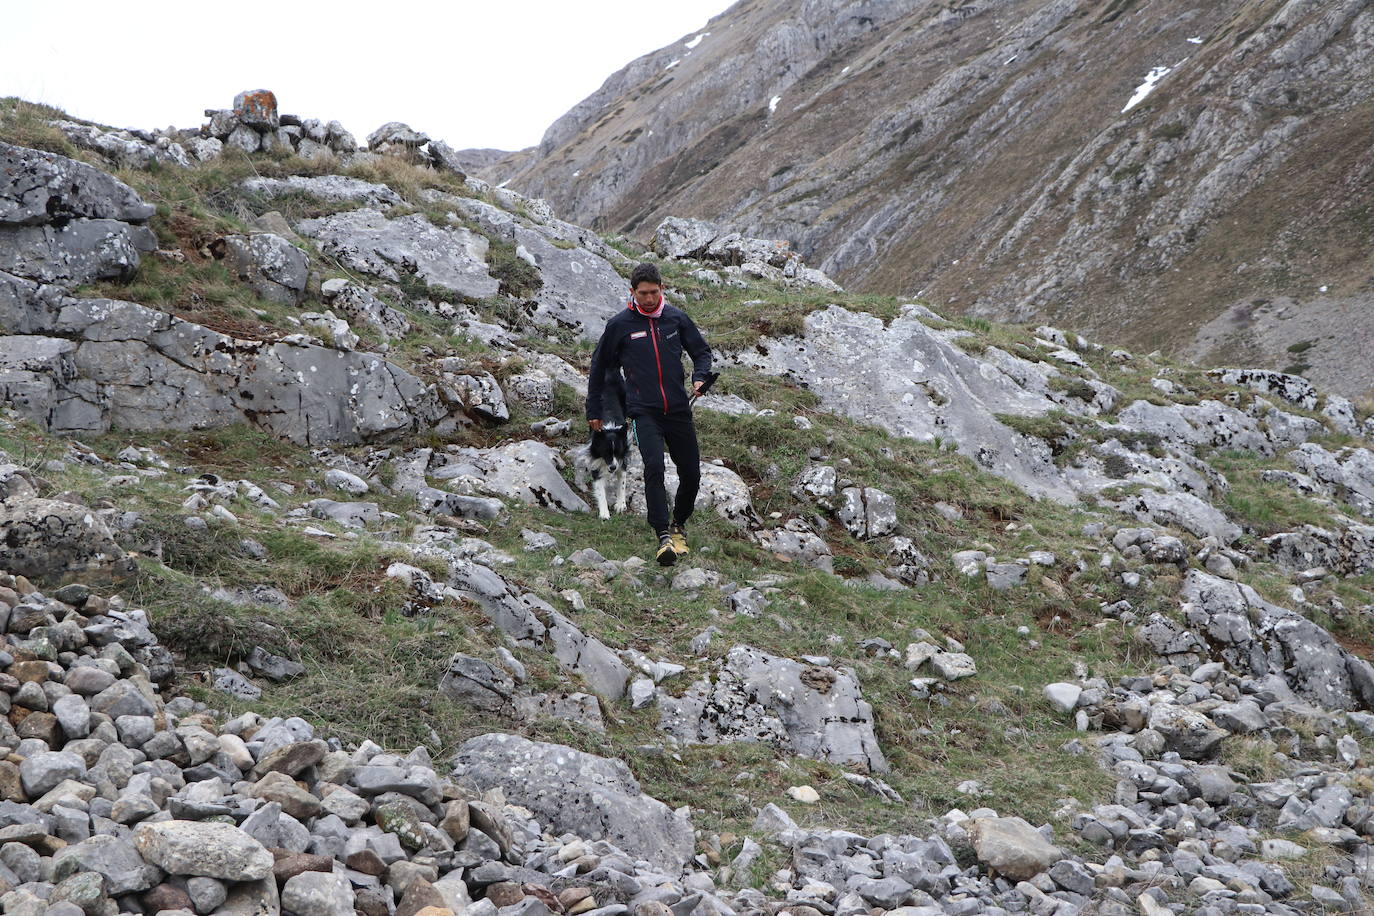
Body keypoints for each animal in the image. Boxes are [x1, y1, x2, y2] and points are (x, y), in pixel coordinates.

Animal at [590, 368, 632, 521]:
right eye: (606, 452)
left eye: (618, 452)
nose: (613, 467)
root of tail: (609, 370)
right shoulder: (595, 462)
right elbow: (600, 490)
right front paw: (604, 513)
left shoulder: (622, 459)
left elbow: (622, 482)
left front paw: (621, 505)